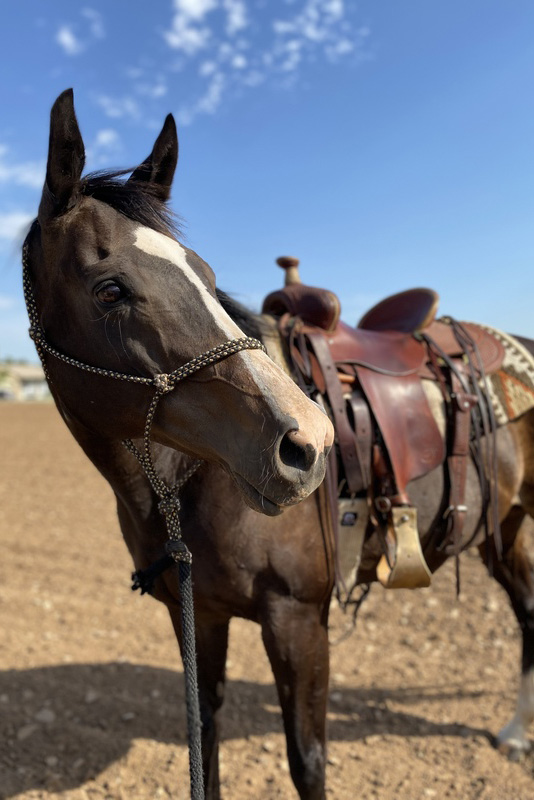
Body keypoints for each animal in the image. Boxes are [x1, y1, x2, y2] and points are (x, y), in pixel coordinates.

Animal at [25, 89, 534, 800]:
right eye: (109, 289)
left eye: (206, 274)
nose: (308, 442)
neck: (188, 487)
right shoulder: (197, 617)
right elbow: (204, 742)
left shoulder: (298, 620)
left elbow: (307, 760)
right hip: (503, 529)